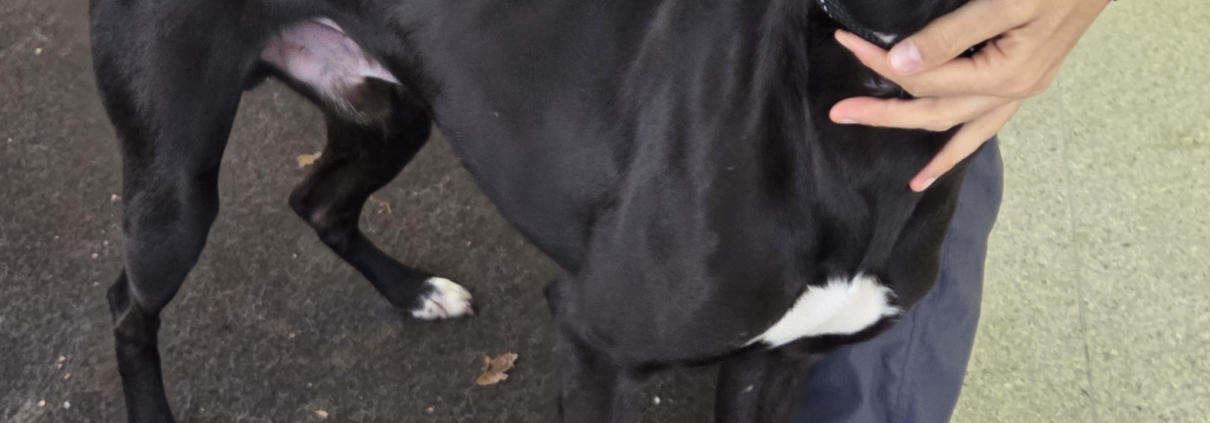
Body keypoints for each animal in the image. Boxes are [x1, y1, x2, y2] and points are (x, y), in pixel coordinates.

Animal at [90, 0, 979, 421]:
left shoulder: (779, 363)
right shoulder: (594, 343)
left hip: (394, 112)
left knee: (317, 200)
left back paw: (415, 291)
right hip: (176, 190)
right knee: (127, 305)